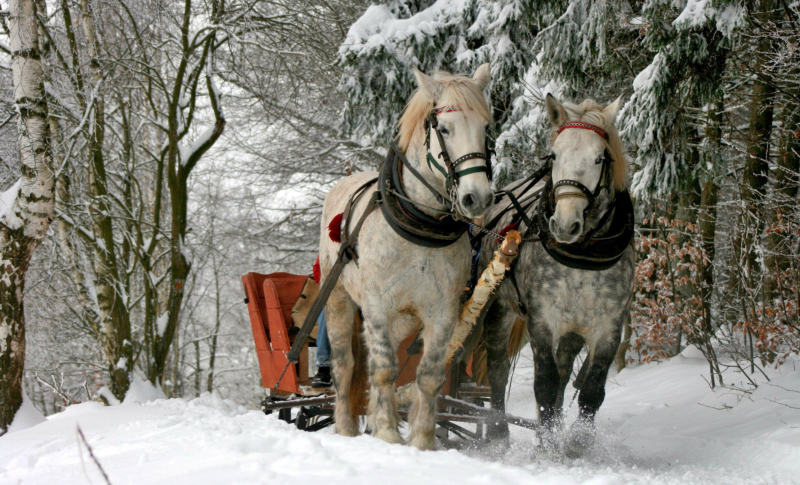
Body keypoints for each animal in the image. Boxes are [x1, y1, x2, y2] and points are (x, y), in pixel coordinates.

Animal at [478, 94, 636, 458]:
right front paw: (547, 443)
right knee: (497, 368)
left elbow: (591, 388)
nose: (564, 224)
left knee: (565, 374)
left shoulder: (609, 326)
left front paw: (576, 439)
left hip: (573, 330)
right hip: (500, 309)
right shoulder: (541, 319)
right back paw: (498, 433)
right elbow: (545, 384)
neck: (582, 257)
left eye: (599, 158)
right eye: (553, 155)